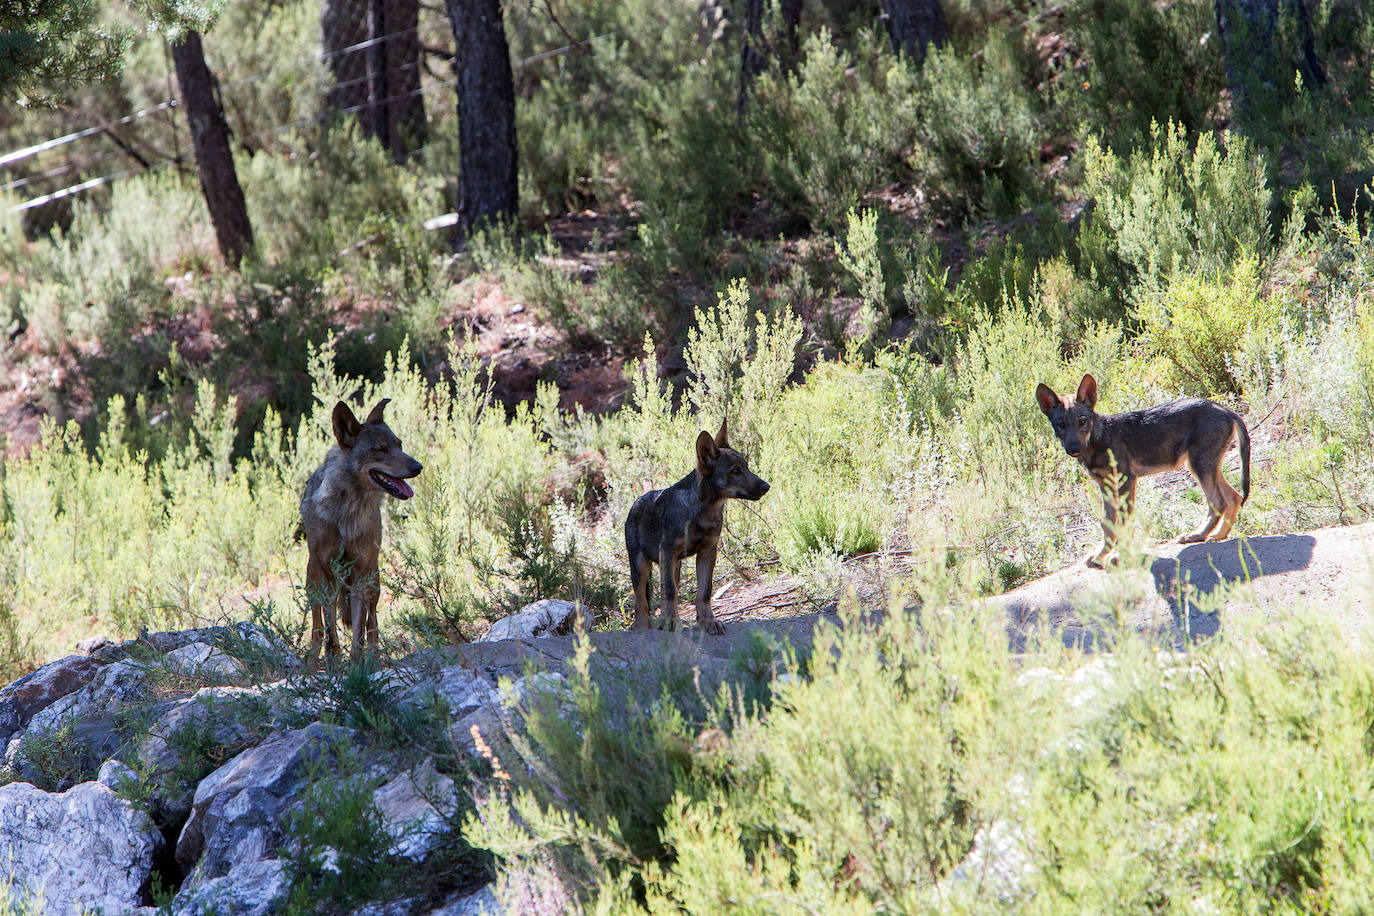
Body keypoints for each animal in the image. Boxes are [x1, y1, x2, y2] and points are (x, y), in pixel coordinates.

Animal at [302, 398, 420, 661]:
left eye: (399, 445)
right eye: (380, 449)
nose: (418, 466)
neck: (349, 512)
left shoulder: (360, 577)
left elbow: (358, 633)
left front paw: (358, 665)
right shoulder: (328, 575)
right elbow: (330, 632)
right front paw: (334, 662)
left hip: (373, 579)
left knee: (372, 625)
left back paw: (373, 658)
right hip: (313, 579)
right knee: (317, 627)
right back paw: (313, 661)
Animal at [626, 420, 769, 631]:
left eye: (747, 467)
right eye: (735, 471)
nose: (766, 486)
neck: (703, 511)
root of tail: (636, 502)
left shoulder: (707, 552)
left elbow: (704, 592)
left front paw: (708, 621)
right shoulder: (667, 551)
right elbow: (669, 591)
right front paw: (670, 622)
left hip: (673, 566)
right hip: (641, 566)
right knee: (642, 602)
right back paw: (644, 627)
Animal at [1033, 373, 1253, 565]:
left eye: (1082, 421)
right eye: (1060, 425)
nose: (1074, 448)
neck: (1097, 441)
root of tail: (1226, 410)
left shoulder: (1125, 481)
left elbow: (1124, 523)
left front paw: (1119, 556)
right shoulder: (1106, 487)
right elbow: (1108, 524)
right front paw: (1102, 554)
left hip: (1199, 465)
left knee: (1217, 501)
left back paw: (1197, 535)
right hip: (1204, 466)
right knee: (1233, 497)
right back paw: (1219, 535)